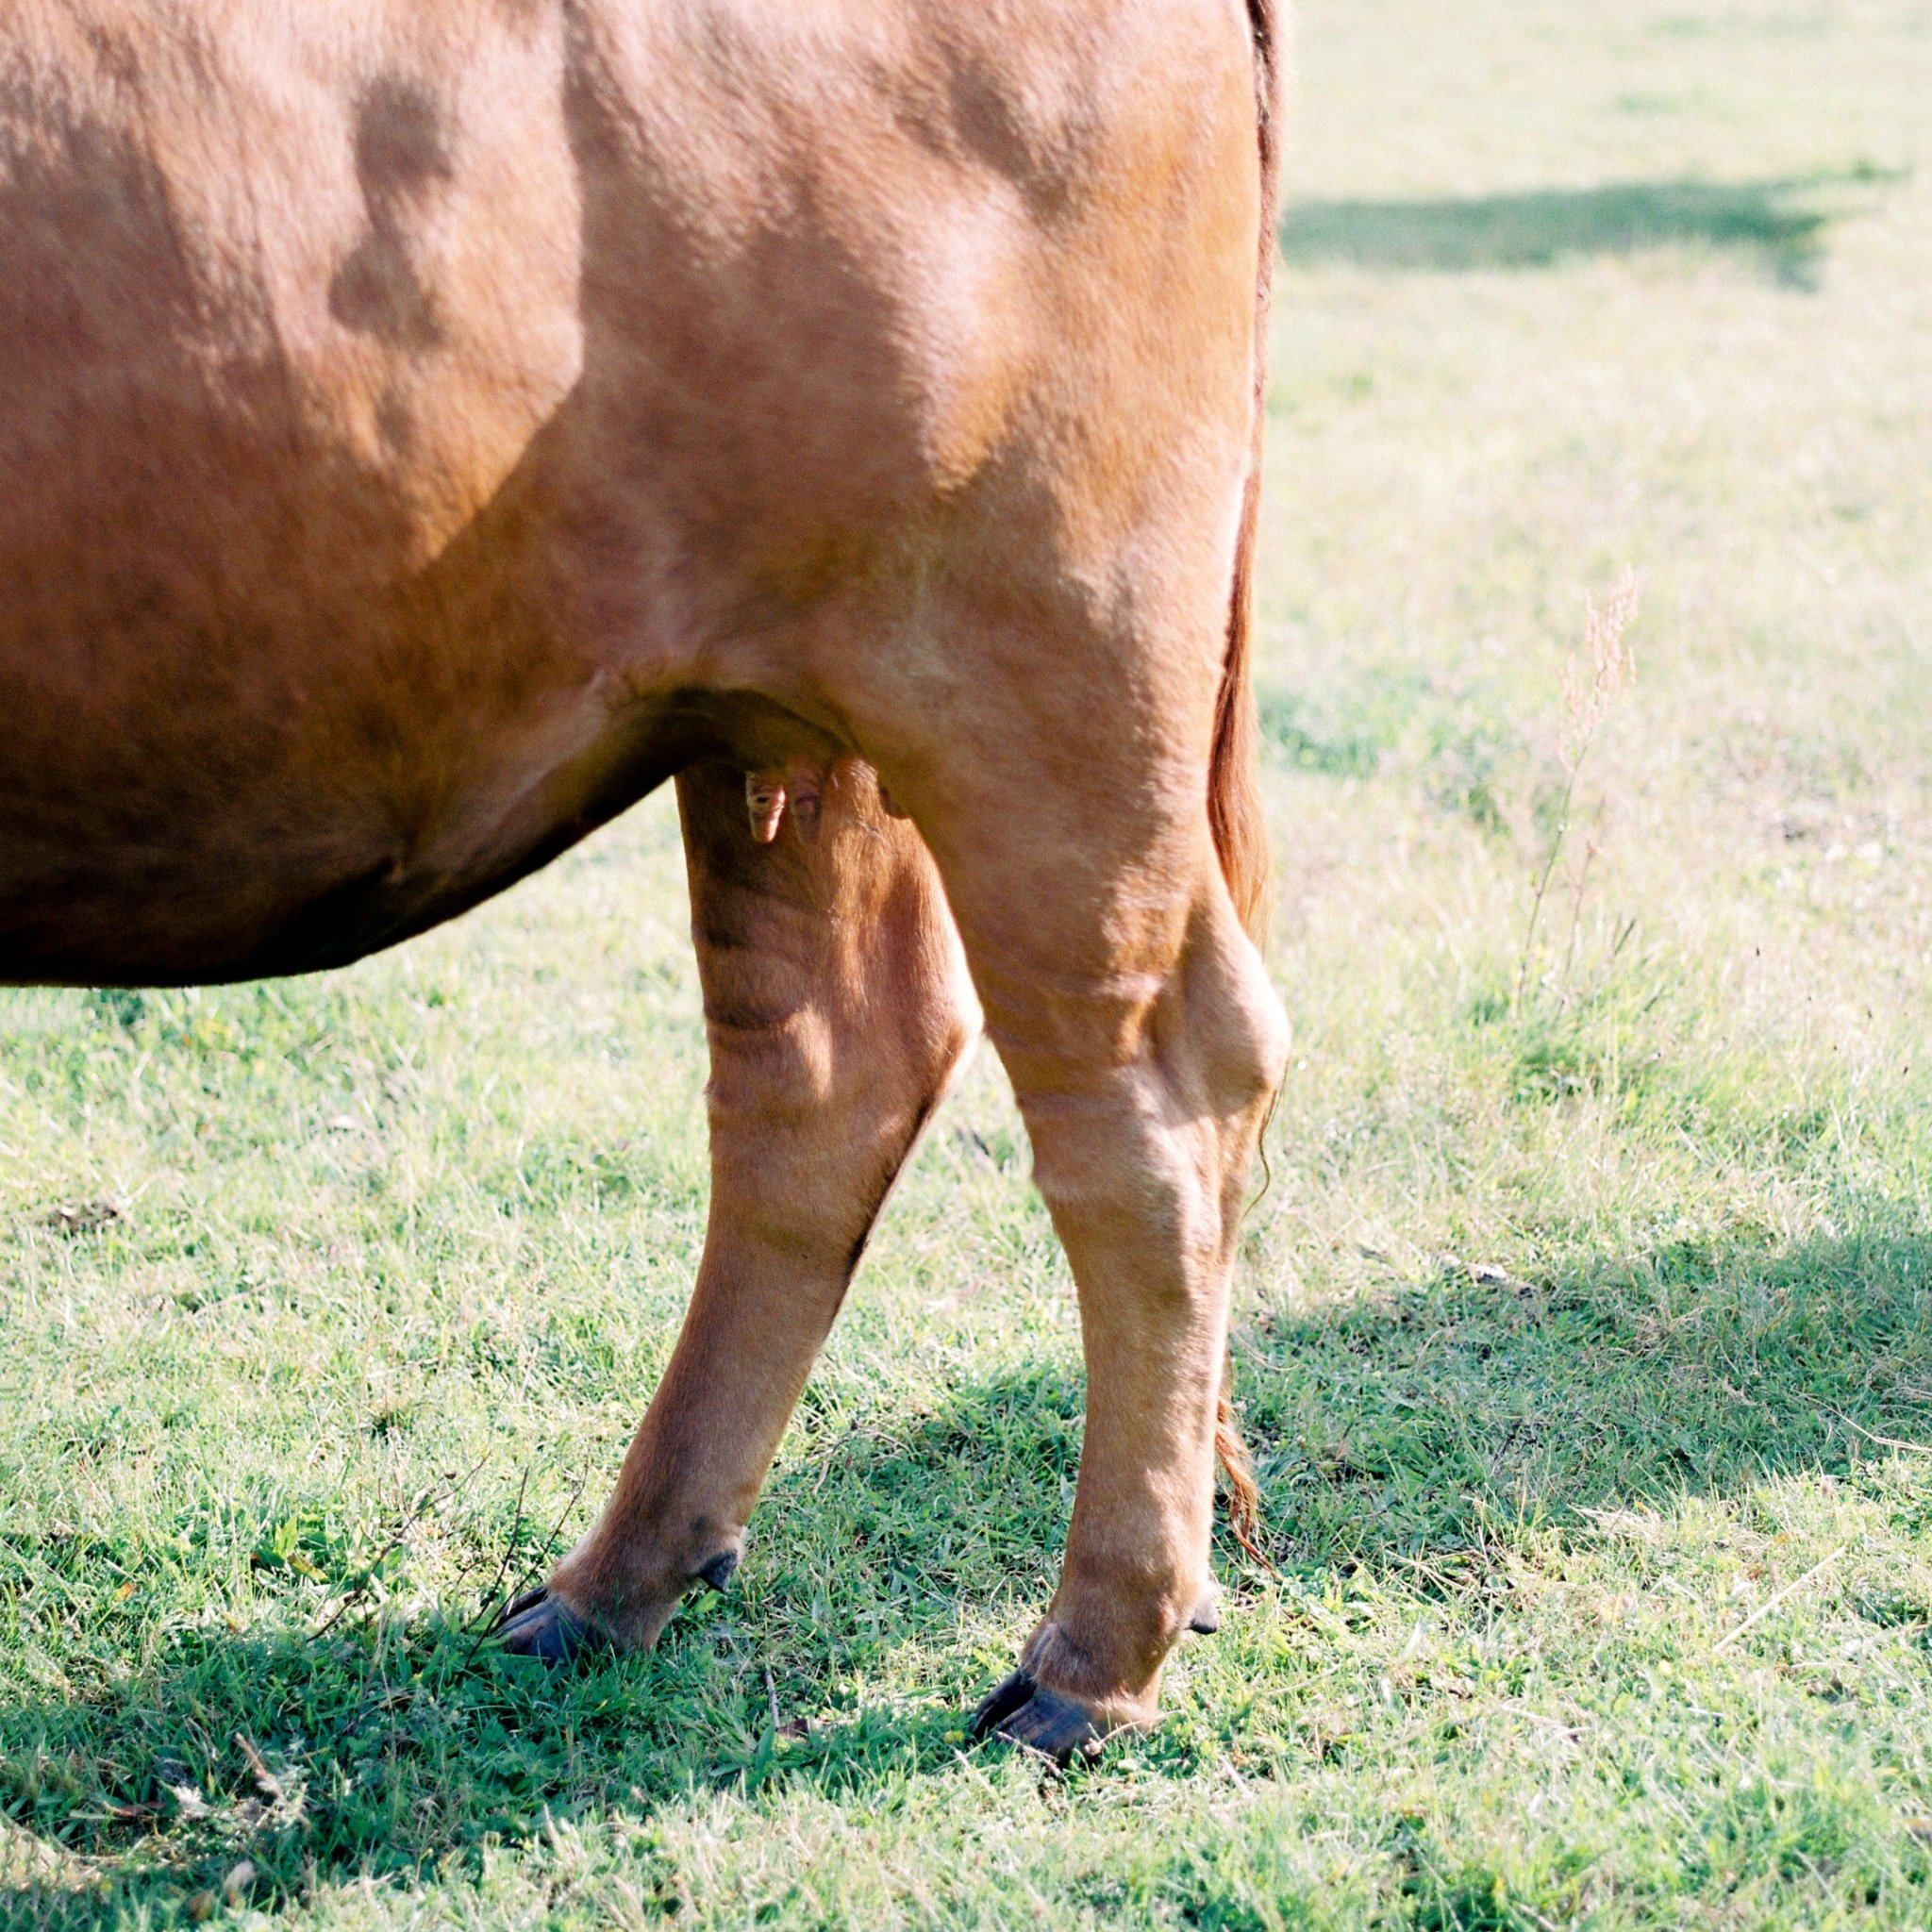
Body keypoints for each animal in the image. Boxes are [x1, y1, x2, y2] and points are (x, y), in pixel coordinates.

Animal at [4, 0, 1298, 1761]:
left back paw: (1090, 1659)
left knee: (1153, 1096)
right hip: (789, 713)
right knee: (824, 1073)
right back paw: (619, 1582)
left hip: (1041, 658)